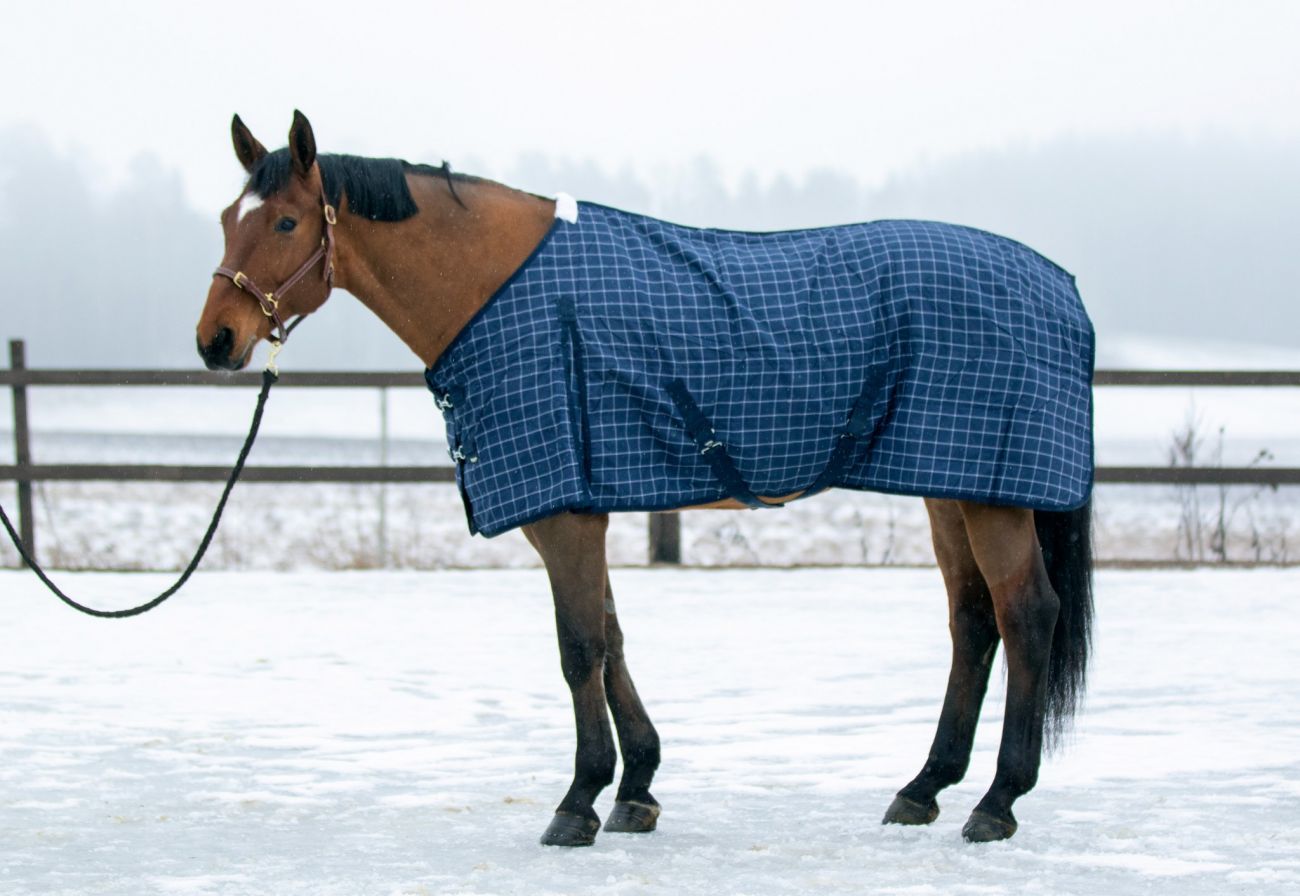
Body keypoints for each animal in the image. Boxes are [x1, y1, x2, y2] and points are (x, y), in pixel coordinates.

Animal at [196, 111, 1094, 848]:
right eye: (226, 220)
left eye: (285, 220)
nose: (216, 340)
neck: (500, 289)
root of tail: (1062, 287)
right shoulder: (580, 501)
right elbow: (612, 635)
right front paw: (637, 789)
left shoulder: (563, 510)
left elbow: (579, 647)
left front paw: (578, 800)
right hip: (954, 485)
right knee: (973, 622)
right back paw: (925, 787)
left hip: (994, 495)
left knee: (1025, 614)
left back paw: (997, 802)